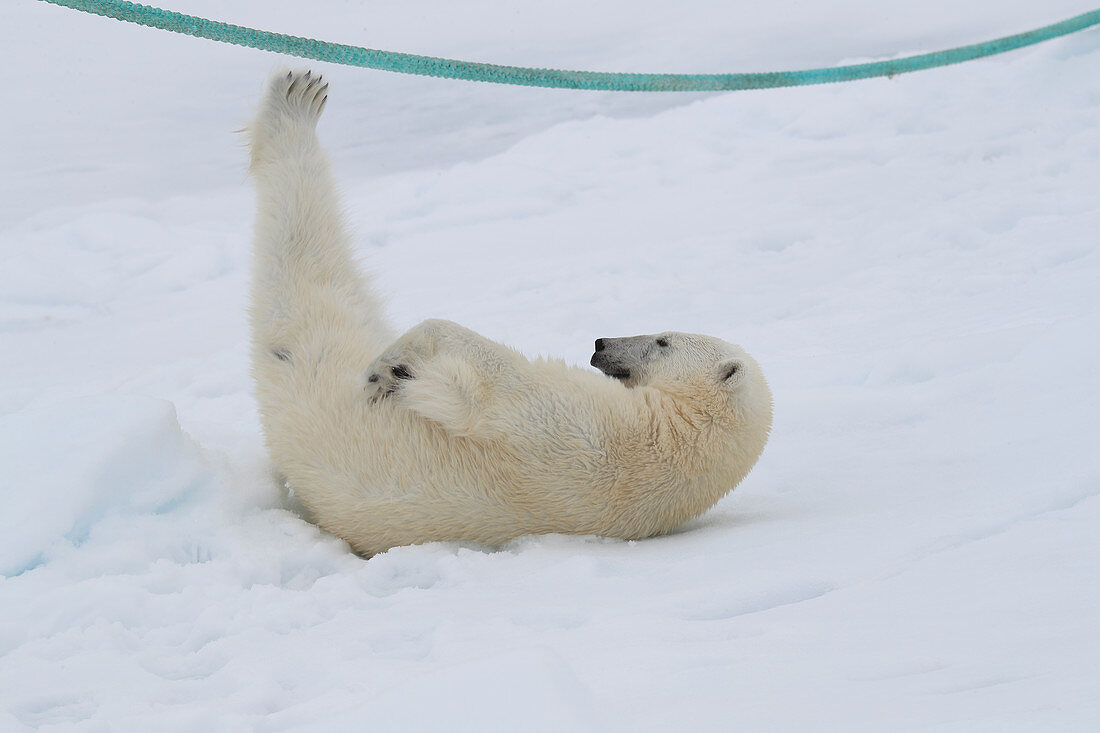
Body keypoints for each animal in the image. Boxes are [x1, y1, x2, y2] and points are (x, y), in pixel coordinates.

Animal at [247, 69, 774, 554]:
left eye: (664, 340)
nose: (601, 344)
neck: (674, 438)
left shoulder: (575, 431)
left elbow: (490, 380)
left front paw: (394, 366)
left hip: (314, 351)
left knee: (306, 264)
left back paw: (295, 100)